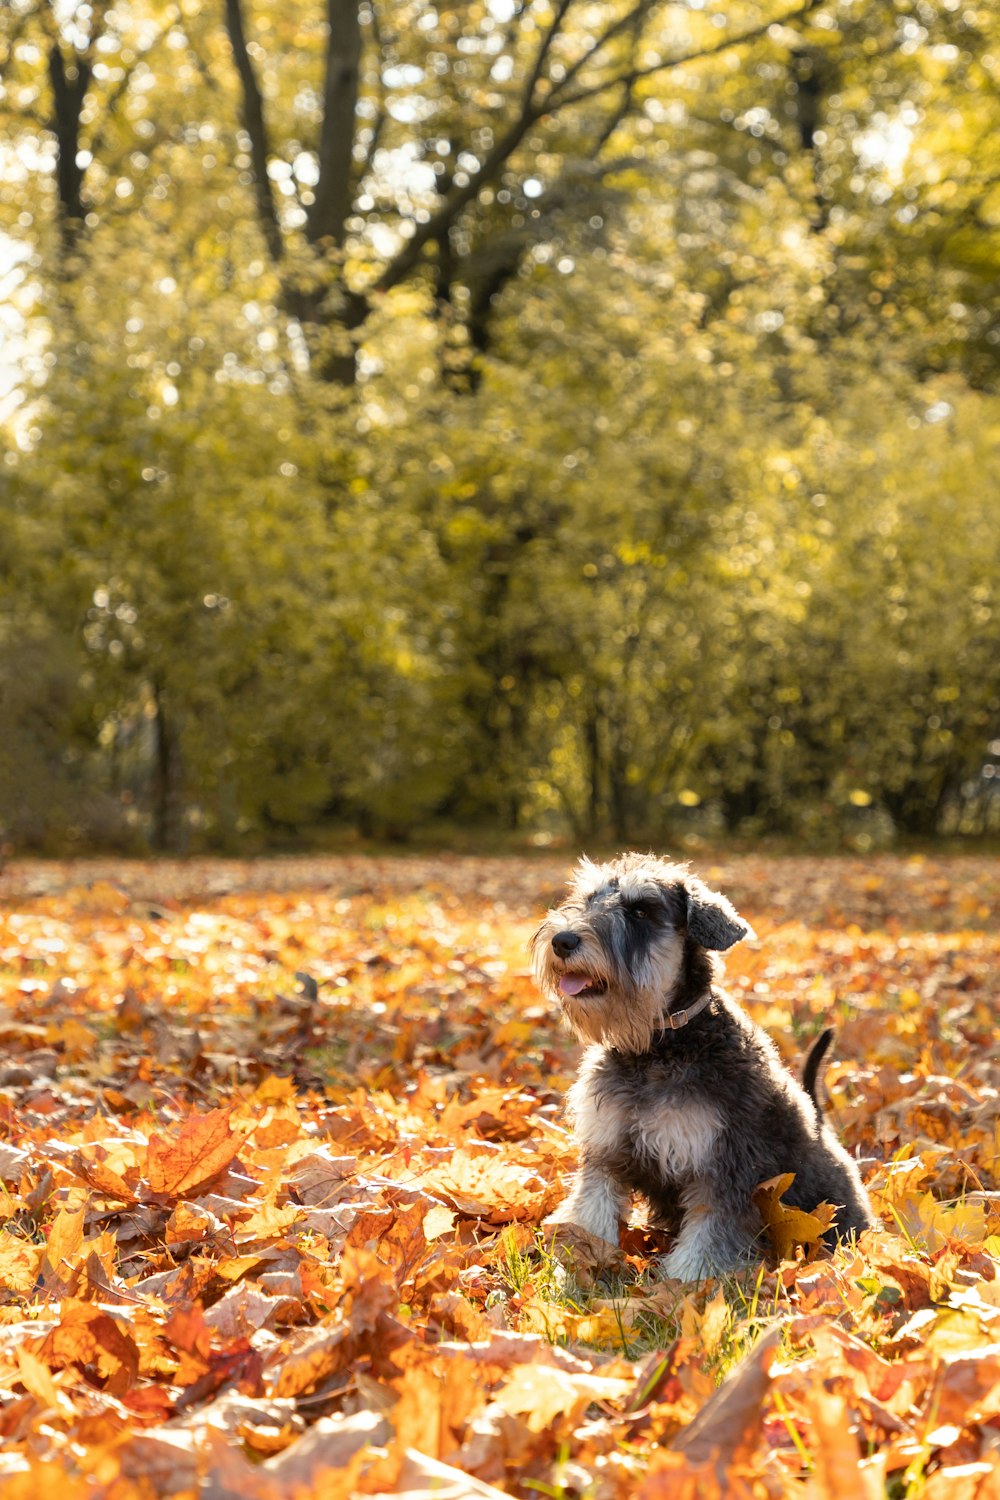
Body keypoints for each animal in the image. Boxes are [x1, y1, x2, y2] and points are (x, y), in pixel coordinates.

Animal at [530, 858, 875, 1278]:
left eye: (640, 910)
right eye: (588, 898)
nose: (562, 941)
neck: (657, 1047)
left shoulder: (722, 1168)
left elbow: (707, 1240)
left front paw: (681, 1286)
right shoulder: (606, 1153)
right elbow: (592, 1212)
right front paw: (583, 1265)